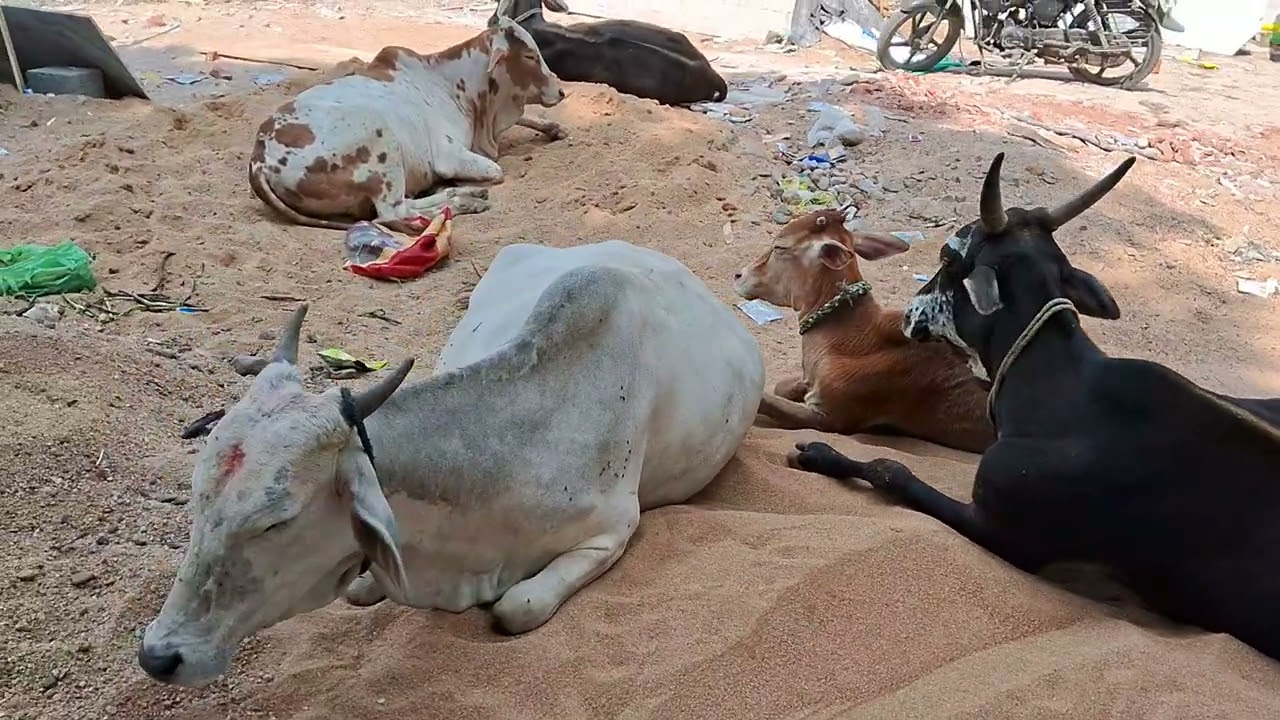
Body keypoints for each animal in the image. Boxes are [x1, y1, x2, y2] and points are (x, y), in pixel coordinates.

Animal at [248, 18, 567, 233]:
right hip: (379, 137)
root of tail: (259, 161)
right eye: (529, 55)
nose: (561, 91)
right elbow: (496, 171)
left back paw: (463, 195)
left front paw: (554, 128)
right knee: (393, 213)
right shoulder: (449, 156)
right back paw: (466, 200)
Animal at [787, 152, 1280, 660]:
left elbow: (891, 470)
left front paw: (823, 455)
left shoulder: (998, 529)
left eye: (947, 256)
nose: (908, 313)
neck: (1060, 388)